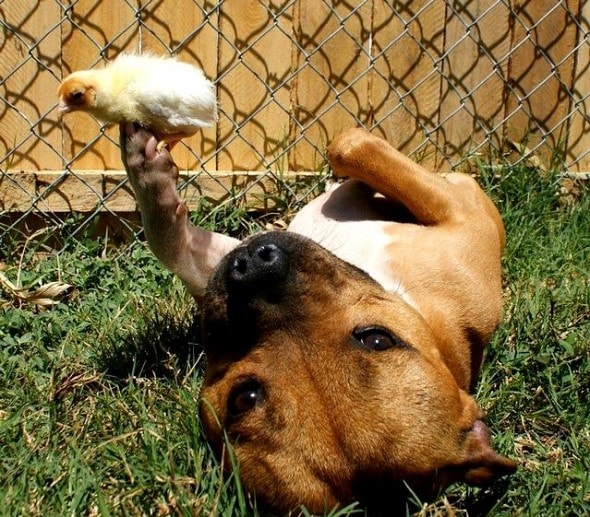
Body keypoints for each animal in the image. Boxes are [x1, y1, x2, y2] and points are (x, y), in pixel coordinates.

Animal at [120, 124, 520, 512]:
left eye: (378, 338)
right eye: (243, 398)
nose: (255, 268)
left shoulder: (461, 208)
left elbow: (349, 144)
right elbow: (169, 241)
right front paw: (148, 167)